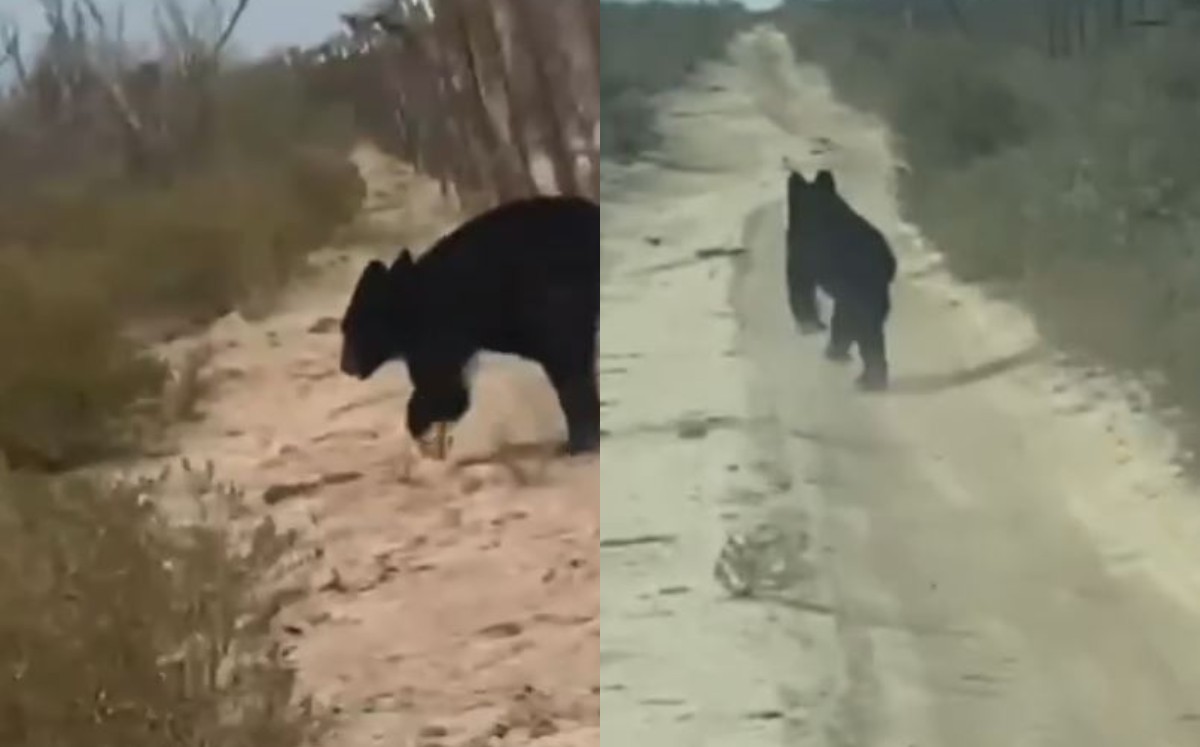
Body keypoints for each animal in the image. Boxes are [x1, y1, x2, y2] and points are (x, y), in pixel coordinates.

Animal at [785, 167, 897, 391]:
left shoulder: (802, 252)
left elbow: (800, 286)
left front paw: (809, 323)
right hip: (873, 299)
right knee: (863, 330)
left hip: (857, 296)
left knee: (856, 328)